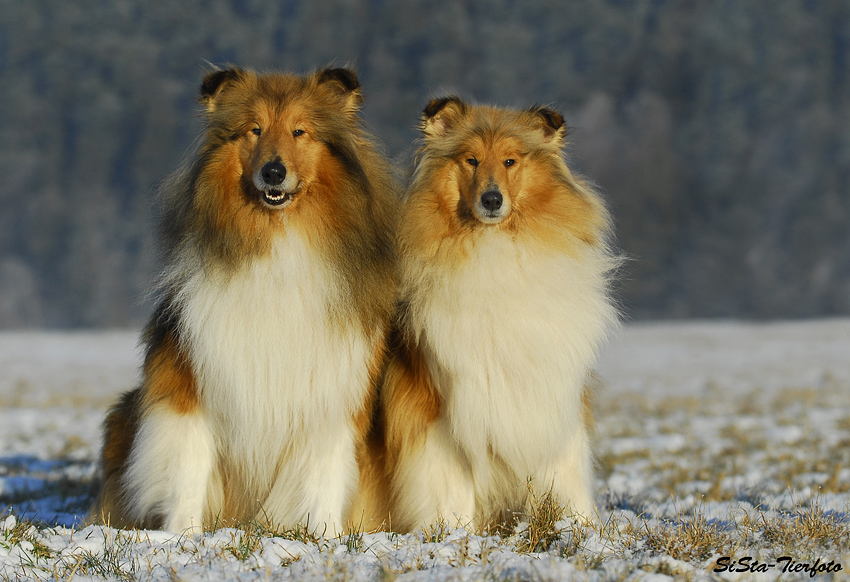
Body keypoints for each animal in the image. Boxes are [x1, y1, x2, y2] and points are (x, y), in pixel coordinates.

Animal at [91, 66, 396, 536]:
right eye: (254, 130)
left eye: (300, 131)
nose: (273, 172)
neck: (276, 241)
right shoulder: (190, 385)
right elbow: (188, 469)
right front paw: (181, 535)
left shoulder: (333, 393)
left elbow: (325, 474)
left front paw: (325, 535)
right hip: (126, 412)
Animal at [378, 98, 616, 536]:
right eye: (471, 160)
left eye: (510, 161)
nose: (492, 200)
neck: (493, 248)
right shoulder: (441, 407)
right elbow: (448, 483)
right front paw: (453, 533)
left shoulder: (550, 397)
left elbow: (566, 471)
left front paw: (582, 527)